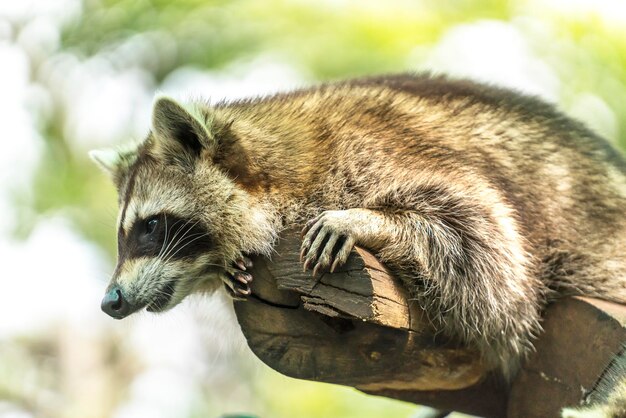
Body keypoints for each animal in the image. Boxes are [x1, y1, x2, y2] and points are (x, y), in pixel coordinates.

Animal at [90, 73, 624, 378]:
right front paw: (228, 270)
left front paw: (371, 222)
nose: (109, 302)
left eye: (150, 227)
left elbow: (489, 249)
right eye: (125, 233)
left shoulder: (375, 155)